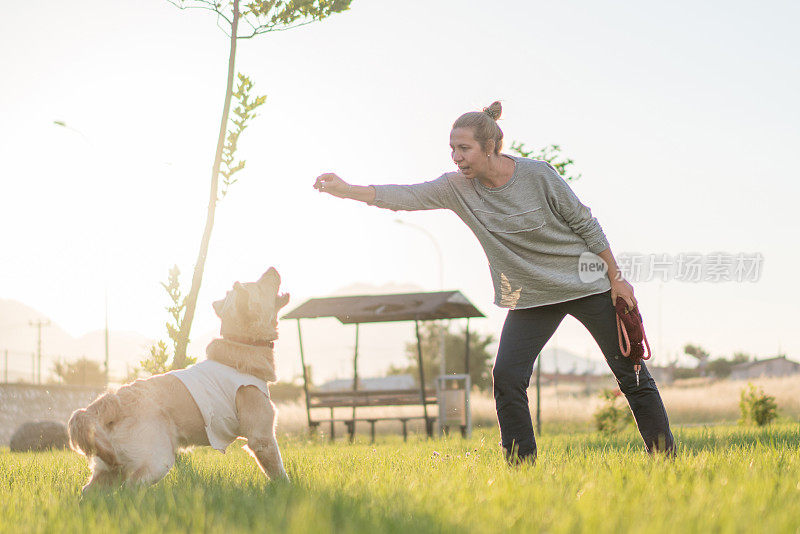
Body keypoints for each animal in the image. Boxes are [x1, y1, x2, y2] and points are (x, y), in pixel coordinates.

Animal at [69, 268, 290, 494]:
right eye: (260, 284)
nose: (272, 269)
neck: (242, 343)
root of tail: (115, 399)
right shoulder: (262, 437)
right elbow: (278, 470)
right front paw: (288, 490)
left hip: (110, 467)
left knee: (90, 491)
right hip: (157, 460)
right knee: (129, 489)